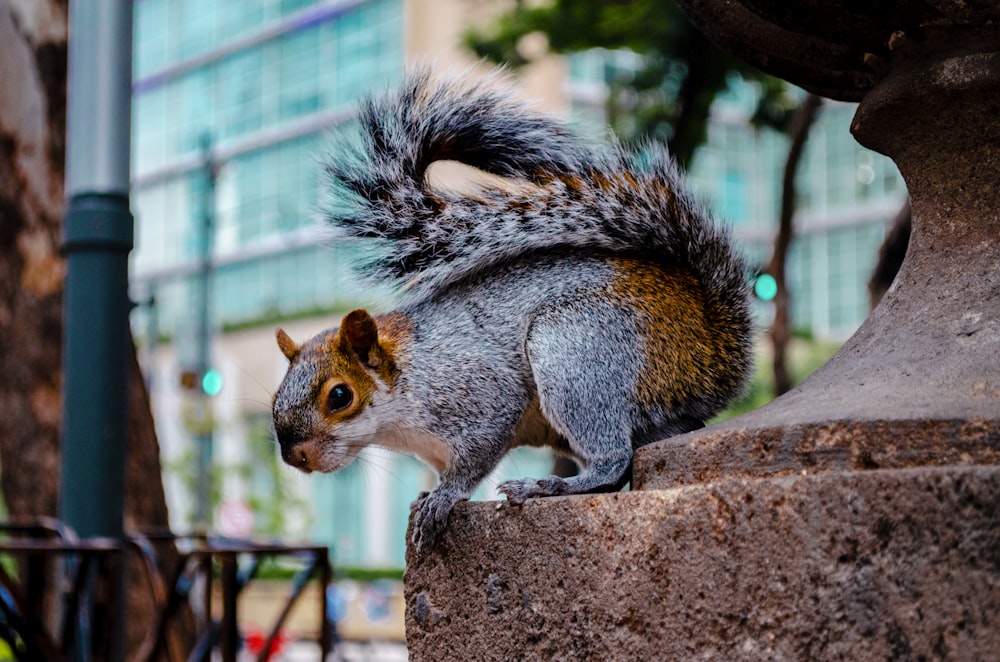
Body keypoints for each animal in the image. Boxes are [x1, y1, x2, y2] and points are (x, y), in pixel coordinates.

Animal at [270, 68, 752, 556]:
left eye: (340, 396)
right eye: (275, 398)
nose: (295, 457)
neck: (403, 389)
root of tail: (709, 348)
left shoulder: (479, 396)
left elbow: (476, 455)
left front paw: (442, 498)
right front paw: (426, 495)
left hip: (575, 352)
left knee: (613, 459)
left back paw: (547, 487)